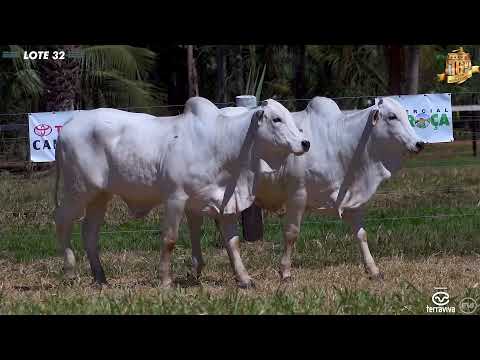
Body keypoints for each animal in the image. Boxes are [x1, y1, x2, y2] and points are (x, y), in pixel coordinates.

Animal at [51, 97, 308, 288]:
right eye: (276, 119)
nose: (305, 143)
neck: (224, 145)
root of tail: (68, 125)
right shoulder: (175, 197)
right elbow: (170, 238)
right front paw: (165, 280)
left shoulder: (224, 202)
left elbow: (232, 242)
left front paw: (244, 278)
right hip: (78, 189)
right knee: (62, 219)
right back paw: (70, 272)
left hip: (100, 195)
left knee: (89, 232)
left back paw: (100, 278)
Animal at [188, 97, 424, 282]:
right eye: (392, 116)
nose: (419, 143)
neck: (340, 142)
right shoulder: (297, 194)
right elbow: (291, 233)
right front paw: (285, 272)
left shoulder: (351, 197)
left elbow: (361, 234)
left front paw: (373, 270)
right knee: (197, 227)